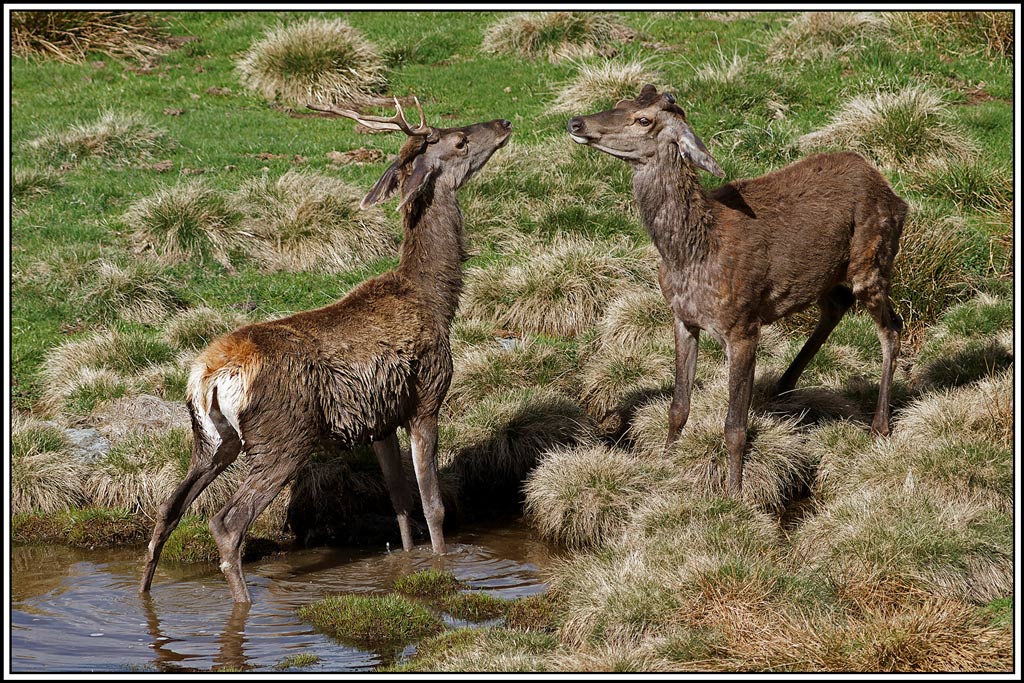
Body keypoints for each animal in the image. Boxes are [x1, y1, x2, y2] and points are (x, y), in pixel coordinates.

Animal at [140, 98, 512, 602]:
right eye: (460, 141)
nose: (504, 123)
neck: (436, 299)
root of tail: (210, 376)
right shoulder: (427, 398)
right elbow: (432, 504)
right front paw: (441, 565)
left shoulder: (378, 420)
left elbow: (399, 501)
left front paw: (406, 562)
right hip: (282, 437)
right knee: (226, 522)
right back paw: (244, 602)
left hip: (212, 440)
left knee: (168, 509)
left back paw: (143, 594)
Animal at [567, 85, 907, 496]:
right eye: (620, 103)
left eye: (643, 119)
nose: (576, 122)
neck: (692, 256)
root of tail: (895, 194)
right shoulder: (682, 317)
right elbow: (678, 406)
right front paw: (664, 465)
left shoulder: (744, 325)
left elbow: (734, 427)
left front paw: (734, 492)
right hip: (830, 274)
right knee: (836, 305)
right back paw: (782, 386)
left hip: (873, 260)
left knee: (892, 328)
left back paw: (880, 425)